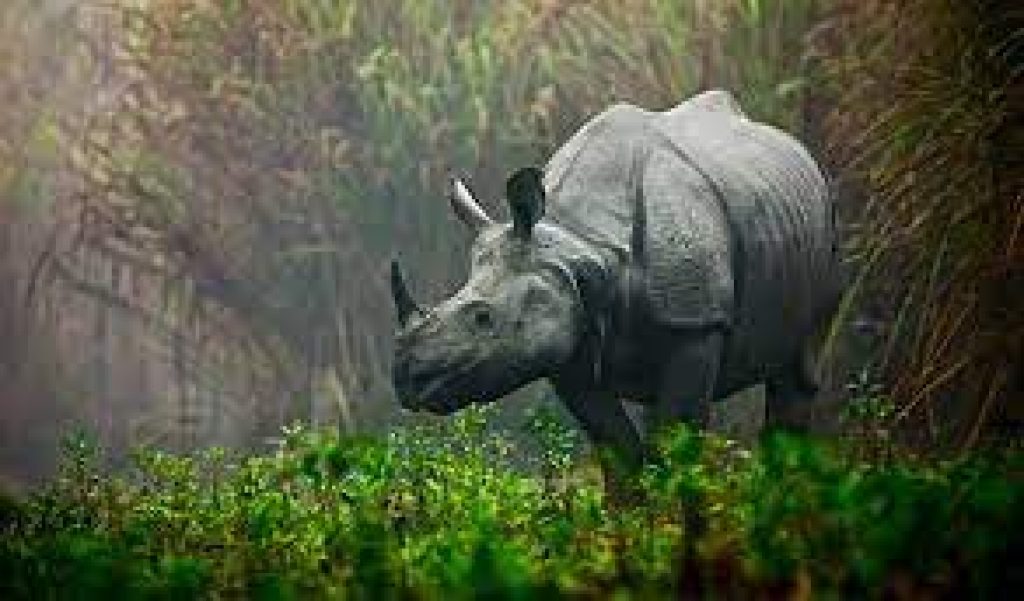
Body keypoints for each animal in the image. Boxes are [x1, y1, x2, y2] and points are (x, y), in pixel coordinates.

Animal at [391, 90, 840, 467]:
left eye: (483, 318)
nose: (407, 378)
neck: (582, 246)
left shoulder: (696, 323)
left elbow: (674, 446)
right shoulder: (570, 333)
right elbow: (619, 452)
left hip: (827, 223)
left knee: (800, 371)